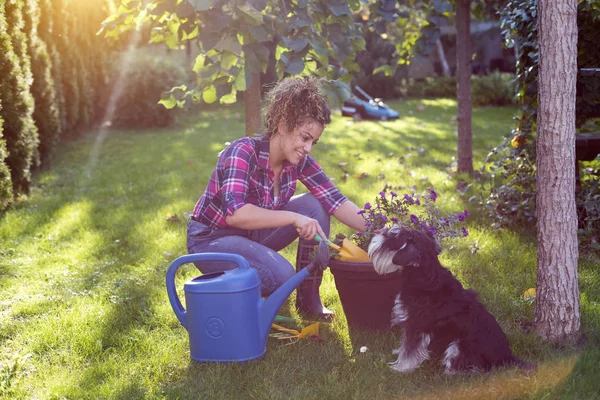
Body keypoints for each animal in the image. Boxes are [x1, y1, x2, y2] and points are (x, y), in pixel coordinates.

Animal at [368, 225, 532, 376]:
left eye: (392, 237)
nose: (376, 233)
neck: (425, 277)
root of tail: (507, 357)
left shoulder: (416, 325)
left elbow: (410, 349)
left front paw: (401, 368)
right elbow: (405, 345)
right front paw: (398, 354)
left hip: (459, 346)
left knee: (471, 368)